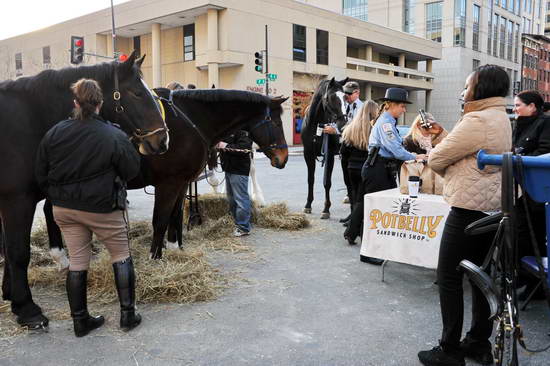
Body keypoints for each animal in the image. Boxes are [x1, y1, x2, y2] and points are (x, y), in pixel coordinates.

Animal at [0, 50, 168, 328]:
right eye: (136, 93)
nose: (163, 139)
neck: (30, 117)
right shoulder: (16, 202)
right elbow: (17, 253)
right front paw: (26, 308)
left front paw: (10, 295)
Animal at [41, 87, 292, 260]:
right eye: (276, 123)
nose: (283, 158)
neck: (190, 121)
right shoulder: (168, 185)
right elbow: (160, 220)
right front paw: (155, 256)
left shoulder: (181, 184)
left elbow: (175, 216)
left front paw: (173, 247)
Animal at [302, 77, 350, 219]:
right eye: (331, 97)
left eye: (345, 97)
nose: (343, 124)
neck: (316, 125)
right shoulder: (308, 154)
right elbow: (310, 179)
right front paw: (308, 205)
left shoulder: (329, 155)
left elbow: (327, 182)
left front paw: (326, 209)